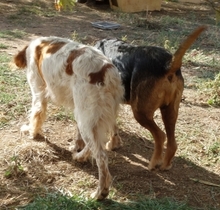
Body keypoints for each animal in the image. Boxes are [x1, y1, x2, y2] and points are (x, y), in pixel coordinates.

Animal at [13, 36, 124, 200]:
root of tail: (107, 71)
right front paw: (76, 146)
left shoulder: (38, 91)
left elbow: (36, 114)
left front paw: (32, 132)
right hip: (92, 114)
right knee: (103, 138)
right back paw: (81, 156)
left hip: (86, 116)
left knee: (101, 158)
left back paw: (100, 193)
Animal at [94, 26, 206, 171]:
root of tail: (168, 64)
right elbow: (114, 126)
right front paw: (114, 143)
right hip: (170, 111)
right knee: (172, 142)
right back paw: (165, 165)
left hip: (140, 112)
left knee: (160, 136)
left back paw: (153, 164)